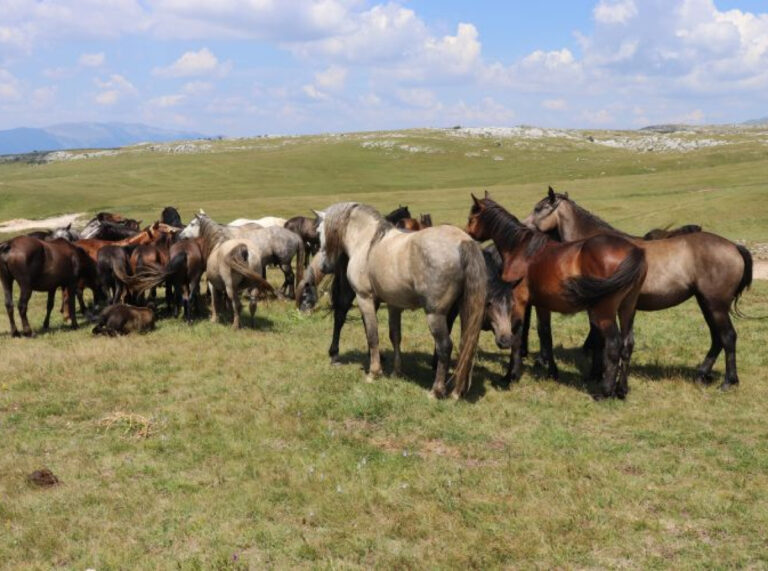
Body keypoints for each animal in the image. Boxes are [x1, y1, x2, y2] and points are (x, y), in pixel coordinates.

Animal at [314, 203, 486, 400]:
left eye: (319, 231)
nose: (324, 267)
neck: (367, 241)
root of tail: (463, 241)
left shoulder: (365, 298)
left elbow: (372, 335)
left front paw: (374, 372)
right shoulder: (393, 305)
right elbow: (395, 336)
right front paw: (397, 372)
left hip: (435, 314)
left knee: (445, 347)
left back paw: (436, 391)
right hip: (463, 310)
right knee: (466, 345)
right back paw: (457, 392)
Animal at [464, 194, 644, 400]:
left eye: (472, 217)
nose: (467, 235)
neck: (521, 250)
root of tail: (634, 251)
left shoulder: (518, 302)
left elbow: (516, 335)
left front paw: (511, 375)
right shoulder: (542, 304)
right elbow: (545, 334)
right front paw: (551, 372)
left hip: (604, 313)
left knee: (614, 346)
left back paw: (605, 391)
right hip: (627, 310)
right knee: (627, 345)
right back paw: (622, 389)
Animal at [520, 190, 752, 392]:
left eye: (538, 208)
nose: (523, 227)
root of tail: (734, 247)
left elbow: (598, 341)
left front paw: (596, 375)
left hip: (715, 305)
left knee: (728, 337)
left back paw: (729, 381)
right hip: (706, 303)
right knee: (717, 338)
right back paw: (702, 374)